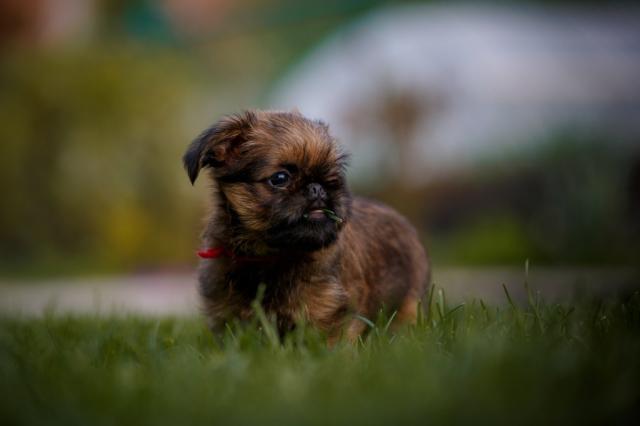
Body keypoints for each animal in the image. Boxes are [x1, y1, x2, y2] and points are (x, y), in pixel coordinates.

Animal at [182, 110, 428, 342]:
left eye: (333, 178)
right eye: (280, 178)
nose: (317, 187)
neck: (270, 256)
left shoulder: (332, 315)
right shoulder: (226, 315)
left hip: (409, 302)